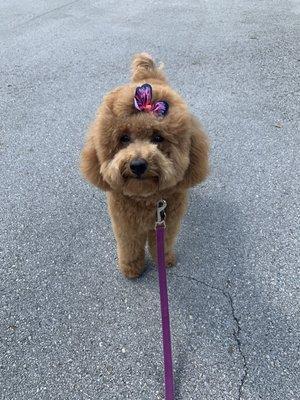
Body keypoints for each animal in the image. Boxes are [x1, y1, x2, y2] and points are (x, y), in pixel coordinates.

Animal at [79, 53, 209, 278]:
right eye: (123, 138)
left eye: (158, 137)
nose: (138, 164)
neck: (147, 199)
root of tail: (148, 76)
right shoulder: (126, 226)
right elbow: (130, 247)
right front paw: (132, 269)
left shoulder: (168, 223)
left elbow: (163, 244)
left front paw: (164, 260)